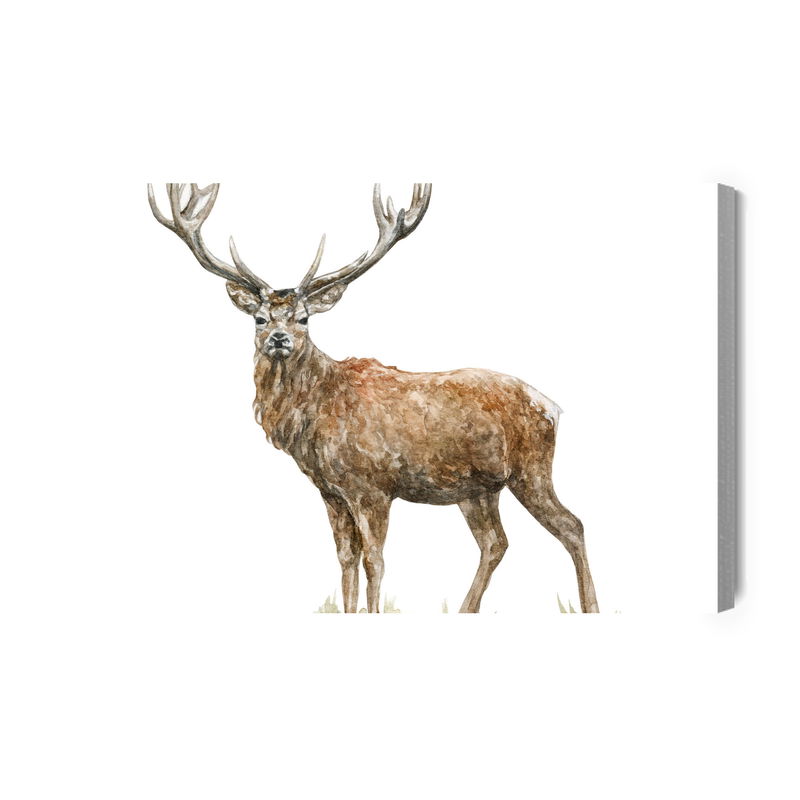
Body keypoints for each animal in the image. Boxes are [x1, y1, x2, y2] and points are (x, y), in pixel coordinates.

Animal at [147, 182, 599, 613]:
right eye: (259, 319)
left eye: (304, 319)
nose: (279, 338)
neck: (315, 417)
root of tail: (552, 406)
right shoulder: (331, 491)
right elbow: (346, 558)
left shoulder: (373, 486)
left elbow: (374, 561)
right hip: (477, 489)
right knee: (495, 542)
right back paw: (466, 610)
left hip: (531, 467)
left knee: (571, 525)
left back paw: (589, 606)